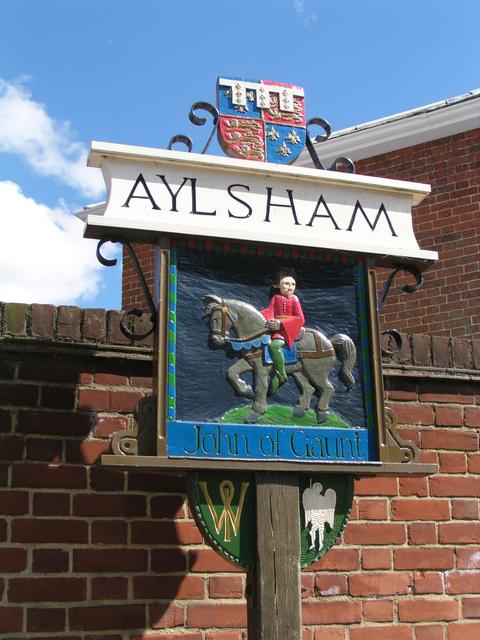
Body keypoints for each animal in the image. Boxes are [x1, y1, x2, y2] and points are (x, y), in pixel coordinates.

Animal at [202, 296, 356, 424]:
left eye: (215, 320)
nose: (215, 340)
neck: (257, 335)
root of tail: (329, 342)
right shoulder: (249, 362)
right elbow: (232, 372)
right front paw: (246, 389)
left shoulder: (262, 369)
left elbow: (261, 387)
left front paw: (255, 413)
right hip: (300, 371)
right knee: (309, 388)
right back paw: (299, 411)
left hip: (316, 371)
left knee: (328, 388)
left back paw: (322, 414)